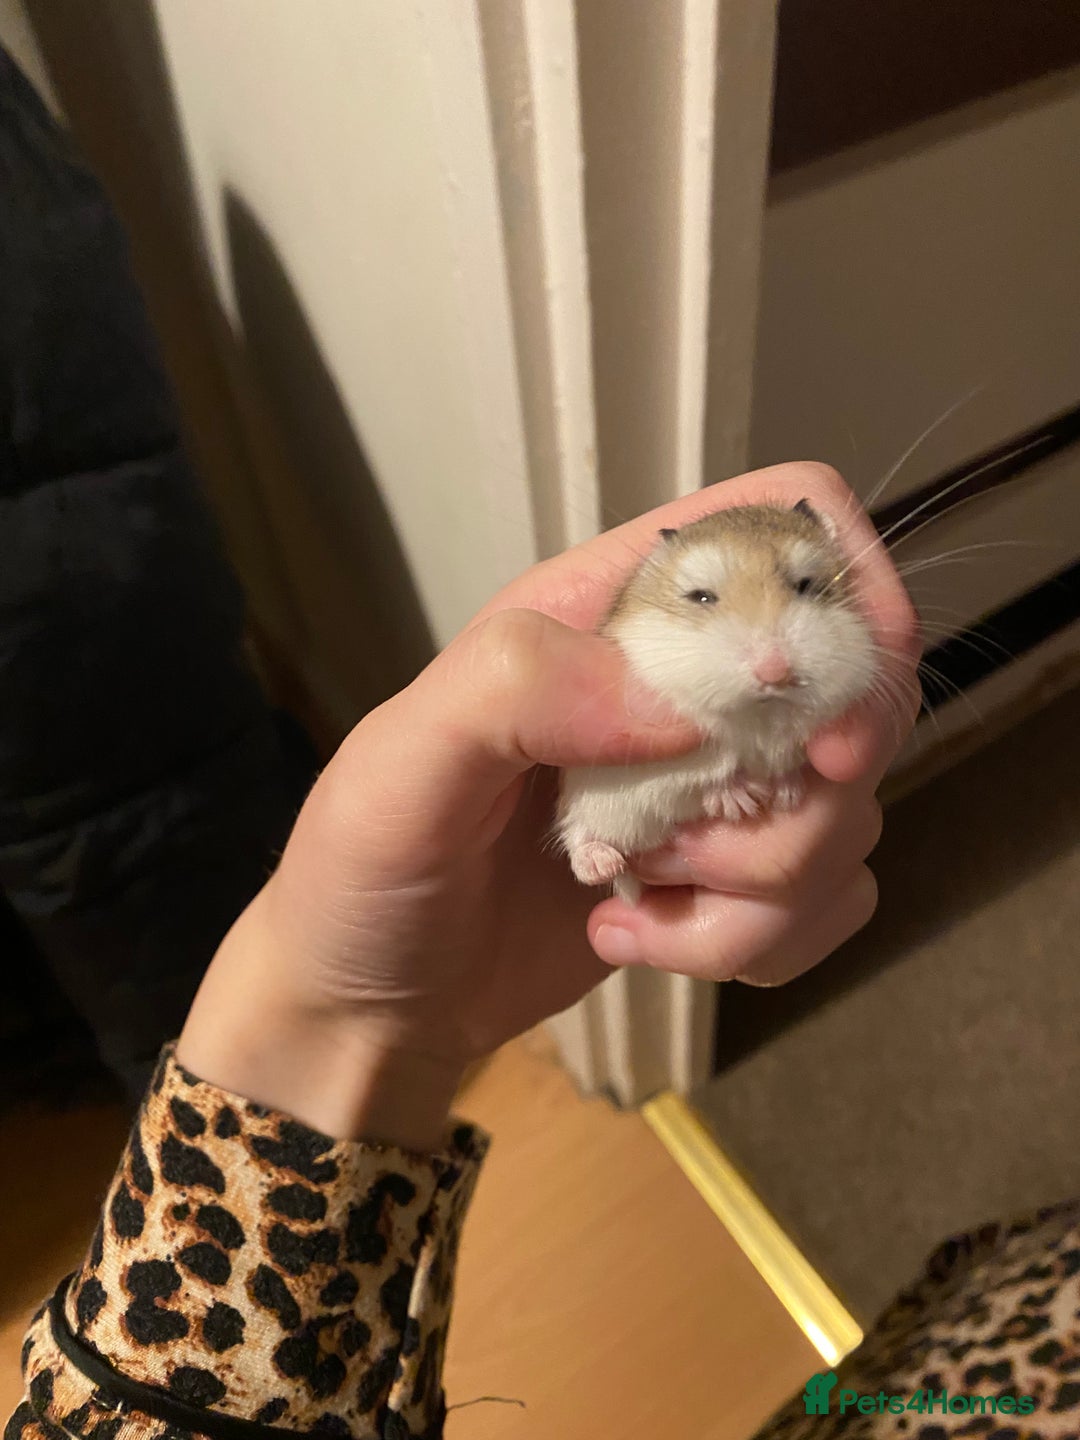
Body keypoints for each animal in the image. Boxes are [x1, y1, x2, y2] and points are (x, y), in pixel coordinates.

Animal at [555, 499, 879, 904]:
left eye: (807, 585)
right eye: (701, 596)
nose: (774, 673)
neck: (759, 714)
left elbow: (784, 763)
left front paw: (786, 796)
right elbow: (705, 773)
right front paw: (743, 801)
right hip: (589, 794)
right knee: (579, 834)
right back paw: (602, 863)